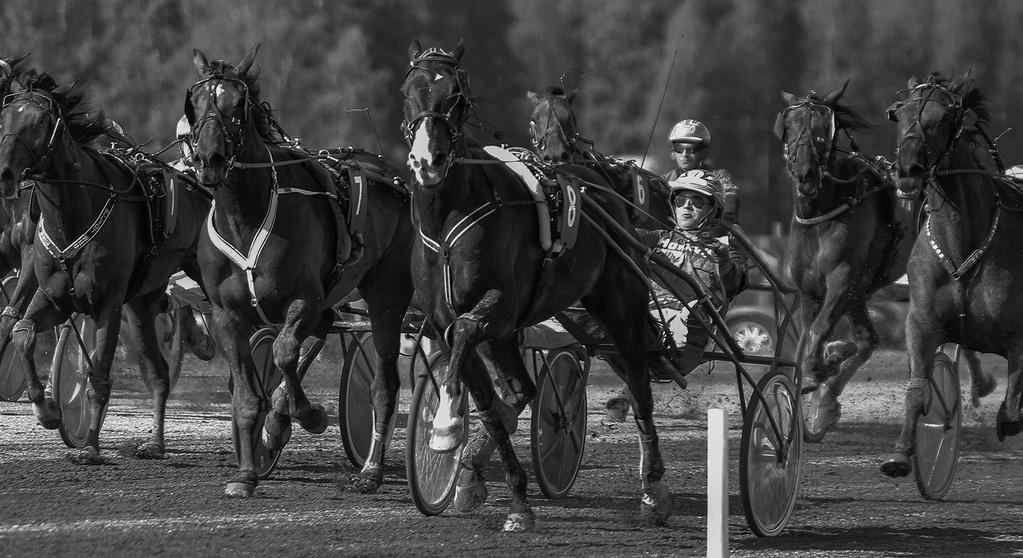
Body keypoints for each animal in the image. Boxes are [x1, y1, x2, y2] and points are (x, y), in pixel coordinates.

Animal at [0, 70, 211, 460]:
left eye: (40, 121)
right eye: (3, 118)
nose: (5, 173)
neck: (74, 216)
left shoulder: (107, 305)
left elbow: (98, 373)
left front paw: (90, 447)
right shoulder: (54, 297)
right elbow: (22, 332)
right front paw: (47, 410)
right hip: (142, 303)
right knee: (158, 373)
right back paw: (155, 444)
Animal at [188, 47, 415, 495]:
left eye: (237, 105)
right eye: (198, 102)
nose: (210, 159)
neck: (244, 216)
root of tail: (390, 174)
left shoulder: (303, 298)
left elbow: (284, 351)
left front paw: (305, 415)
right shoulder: (226, 315)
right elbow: (247, 393)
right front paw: (247, 471)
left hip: (385, 299)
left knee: (383, 383)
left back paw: (371, 471)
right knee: (324, 328)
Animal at [879, 71, 1014, 477]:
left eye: (942, 118)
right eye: (898, 114)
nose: (908, 171)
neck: (962, 242)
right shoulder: (922, 320)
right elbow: (918, 385)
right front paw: (900, 454)